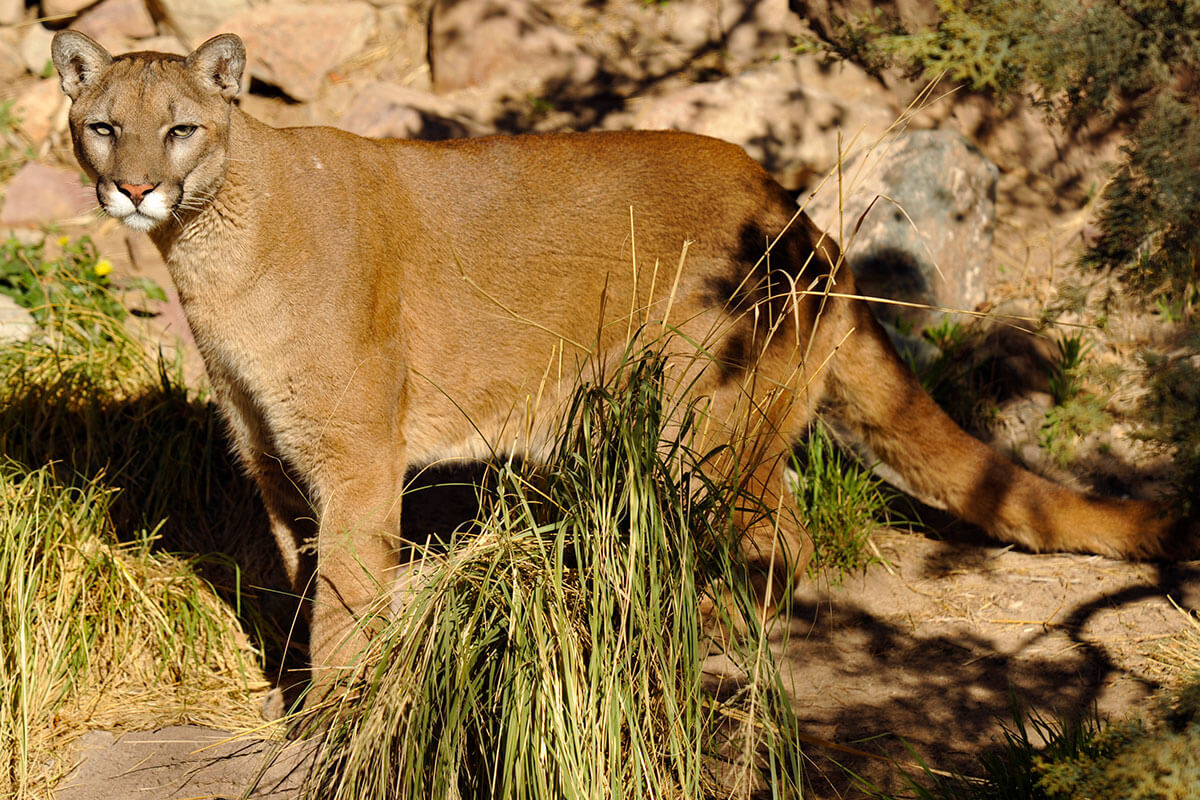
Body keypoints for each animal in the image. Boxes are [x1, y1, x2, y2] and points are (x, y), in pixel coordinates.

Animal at [54, 28, 1180, 700]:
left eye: (181, 128)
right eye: (104, 127)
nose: (137, 189)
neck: (212, 248)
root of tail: (799, 214)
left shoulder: (359, 458)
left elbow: (343, 601)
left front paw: (336, 712)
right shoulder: (275, 459)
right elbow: (302, 583)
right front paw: (297, 688)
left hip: (708, 420)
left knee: (787, 541)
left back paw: (692, 633)